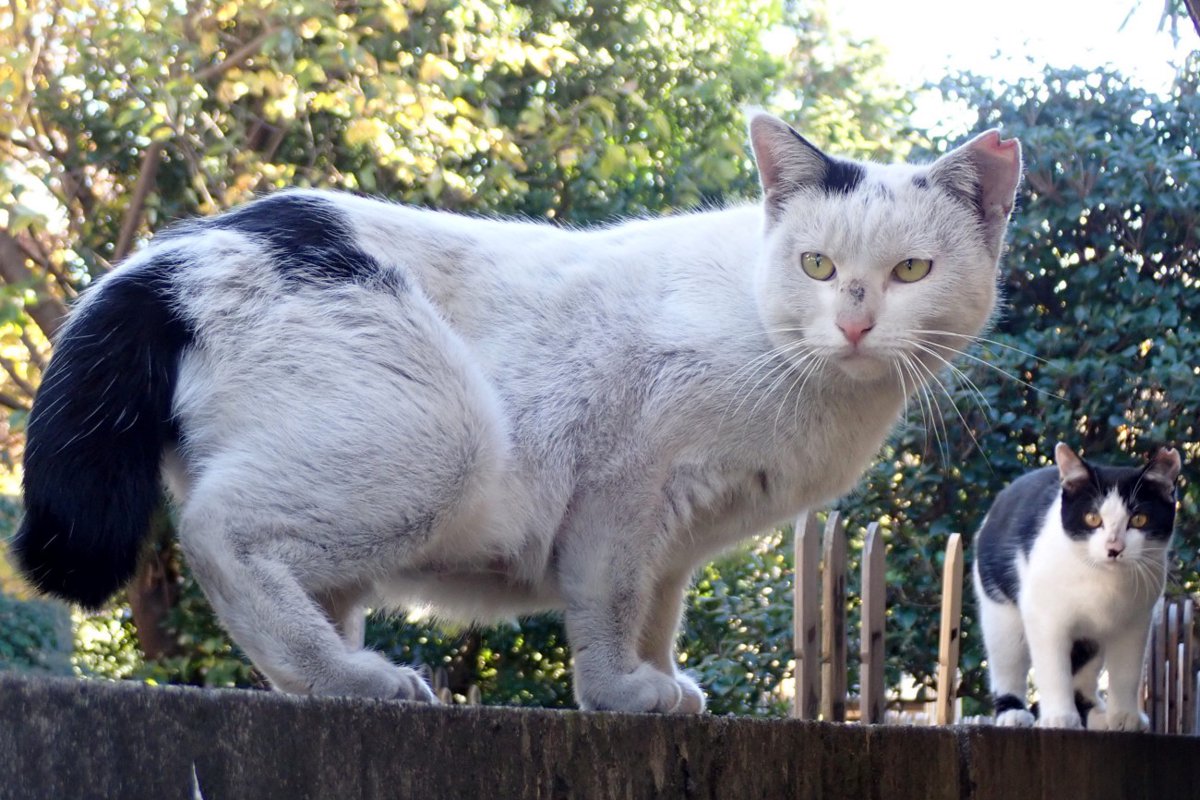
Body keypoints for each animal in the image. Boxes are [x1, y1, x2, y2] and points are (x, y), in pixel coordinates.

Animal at [14, 112, 1017, 714]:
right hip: (448, 435)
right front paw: (622, 693)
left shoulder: (679, 536)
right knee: (220, 535)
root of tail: (168, 258)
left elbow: (657, 611)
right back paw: (357, 682)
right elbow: (611, 604)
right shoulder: (624, 490)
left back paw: (330, 675)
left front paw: (659, 680)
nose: (854, 321)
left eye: (911, 272)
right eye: (816, 265)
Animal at [974, 443, 1180, 734]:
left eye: (1139, 519)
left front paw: (1125, 716)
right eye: (1092, 518)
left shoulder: (1137, 621)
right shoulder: (1044, 617)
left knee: (1085, 669)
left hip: (1092, 640)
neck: (1104, 583)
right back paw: (1013, 711)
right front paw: (1059, 716)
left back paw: (1096, 715)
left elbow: (1127, 670)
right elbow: (1052, 666)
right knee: (1007, 661)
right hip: (999, 610)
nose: (1114, 548)